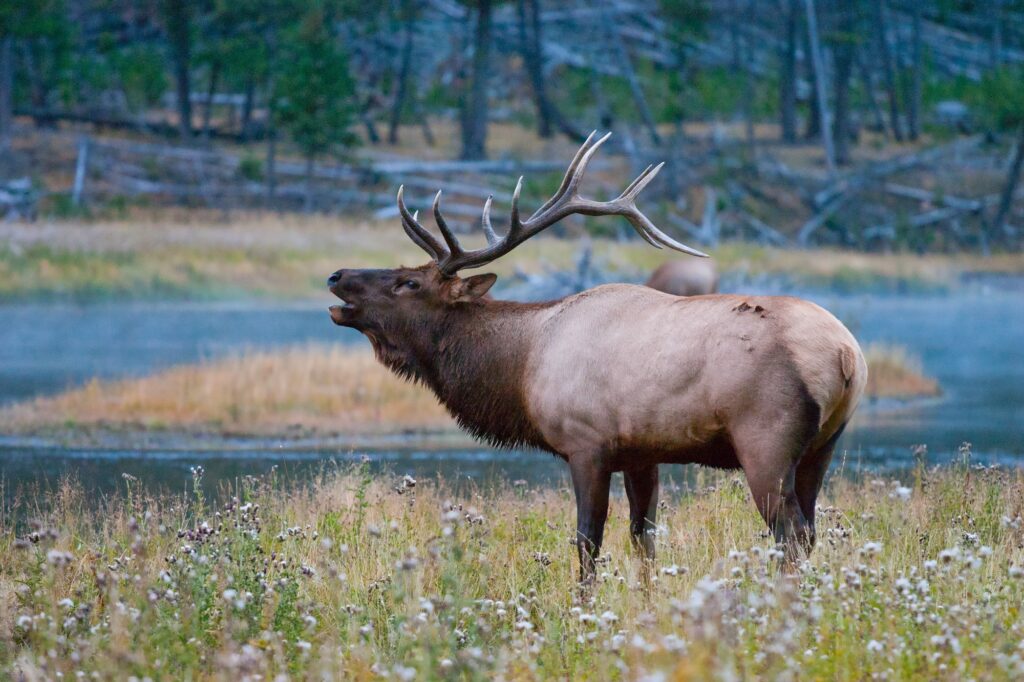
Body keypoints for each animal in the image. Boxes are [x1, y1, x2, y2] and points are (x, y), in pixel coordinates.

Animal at [327, 132, 866, 581]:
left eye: (408, 283)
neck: (522, 368)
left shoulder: (586, 444)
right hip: (823, 446)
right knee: (809, 532)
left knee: (791, 536)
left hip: (766, 441)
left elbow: (588, 543)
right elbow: (644, 539)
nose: (336, 275)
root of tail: (846, 354)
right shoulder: (642, 452)